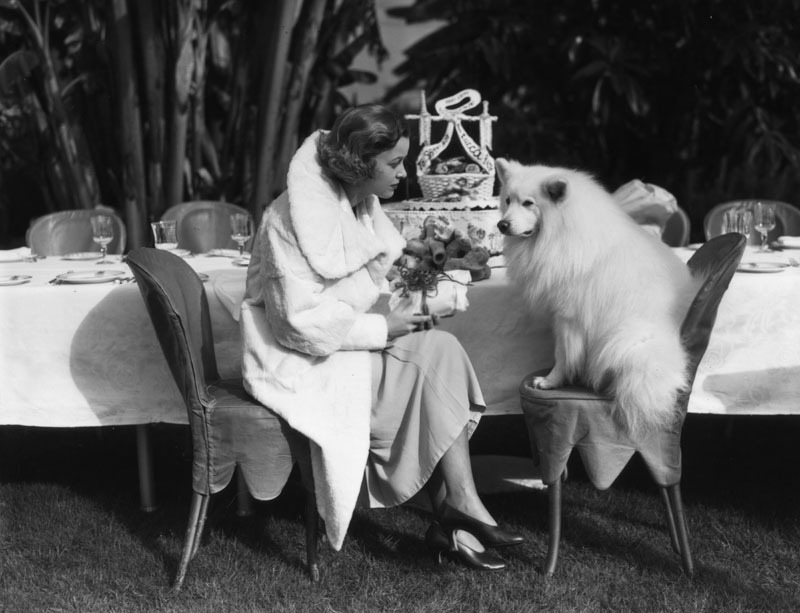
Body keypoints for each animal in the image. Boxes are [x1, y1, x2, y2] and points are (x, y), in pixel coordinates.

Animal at [495, 159, 703, 434]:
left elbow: (562, 355)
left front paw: (551, 381)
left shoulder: (567, 317)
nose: (502, 225)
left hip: (625, 339)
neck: (561, 231)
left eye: (529, 203)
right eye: (508, 201)